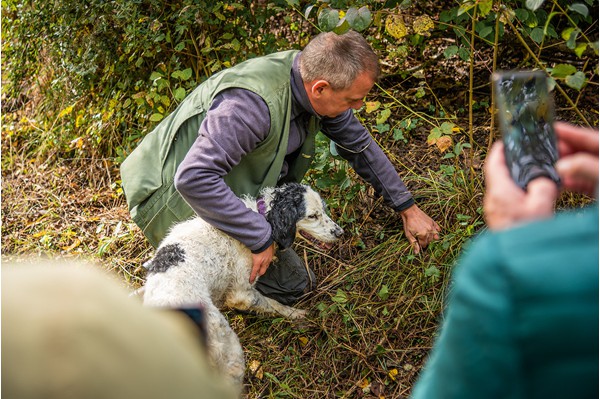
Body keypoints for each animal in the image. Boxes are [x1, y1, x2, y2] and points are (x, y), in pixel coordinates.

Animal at [141, 184, 344, 390]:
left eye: (324, 209)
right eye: (312, 215)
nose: (340, 233)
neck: (262, 218)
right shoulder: (242, 293)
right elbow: (274, 304)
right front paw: (296, 314)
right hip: (230, 353)